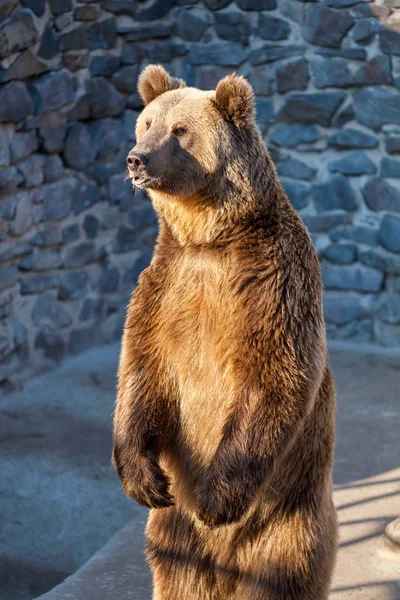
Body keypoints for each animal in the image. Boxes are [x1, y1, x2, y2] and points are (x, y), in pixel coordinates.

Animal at [113, 65, 338, 600]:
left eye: (179, 131)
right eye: (146, 123)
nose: (136, 159)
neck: (211, 237)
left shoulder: (272, 285)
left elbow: (273, 377)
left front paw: (217, 499)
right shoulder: (166, 286)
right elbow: (141, 370)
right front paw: (142, 479)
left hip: (288, 514)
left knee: (284, 573)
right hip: (175, 530)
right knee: (178, 572)